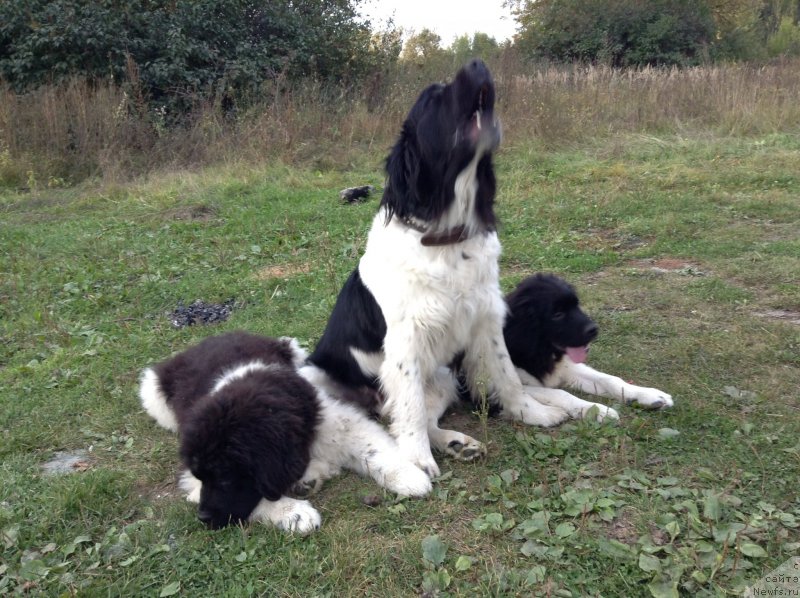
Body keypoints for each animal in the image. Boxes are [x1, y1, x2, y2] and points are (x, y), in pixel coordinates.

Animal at [141, 332, 434, 536]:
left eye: (225, 478)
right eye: (203, 477)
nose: (203, 518)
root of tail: (202, 343)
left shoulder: (333, 421)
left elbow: (373, 450)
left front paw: (409, 476)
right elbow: (256, 500)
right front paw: (294, 514)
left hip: (295, 350)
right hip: (151, 392)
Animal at [306, 59, 568, 482]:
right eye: (433, 98)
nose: (477, 62)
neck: (446, 239)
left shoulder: (486, 320)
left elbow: (508, 376)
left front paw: (533, 413)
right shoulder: (406, 341)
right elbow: (409, 409)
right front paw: (416, 460)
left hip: (443, 374)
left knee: (414, 415)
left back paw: (457, 443)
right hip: (318, 377)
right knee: (390, 413)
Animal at [506, 274, 676, 420]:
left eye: (576, 305)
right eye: (557, 314)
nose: (594, 329)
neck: (540, 352)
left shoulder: (568, 368)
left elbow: (610, 379)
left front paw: (647, 395)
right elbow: (557, 392)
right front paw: (597, 410)